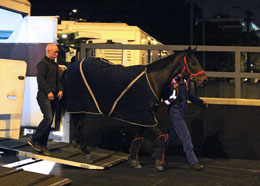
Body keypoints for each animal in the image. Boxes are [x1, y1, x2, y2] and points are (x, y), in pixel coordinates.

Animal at [64, 47, 207, 170]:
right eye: (193, 63)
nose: (204, 80)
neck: (152, 80)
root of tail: (72, 66)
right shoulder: (146, 117)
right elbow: (162, 136)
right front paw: (159, 163)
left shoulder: (142, 119)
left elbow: (138, 139)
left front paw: (134, 161)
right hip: (79, 106)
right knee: (78, 125)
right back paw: (85, 150)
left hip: (81, 108)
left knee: (79, 124)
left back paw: (80, 146)